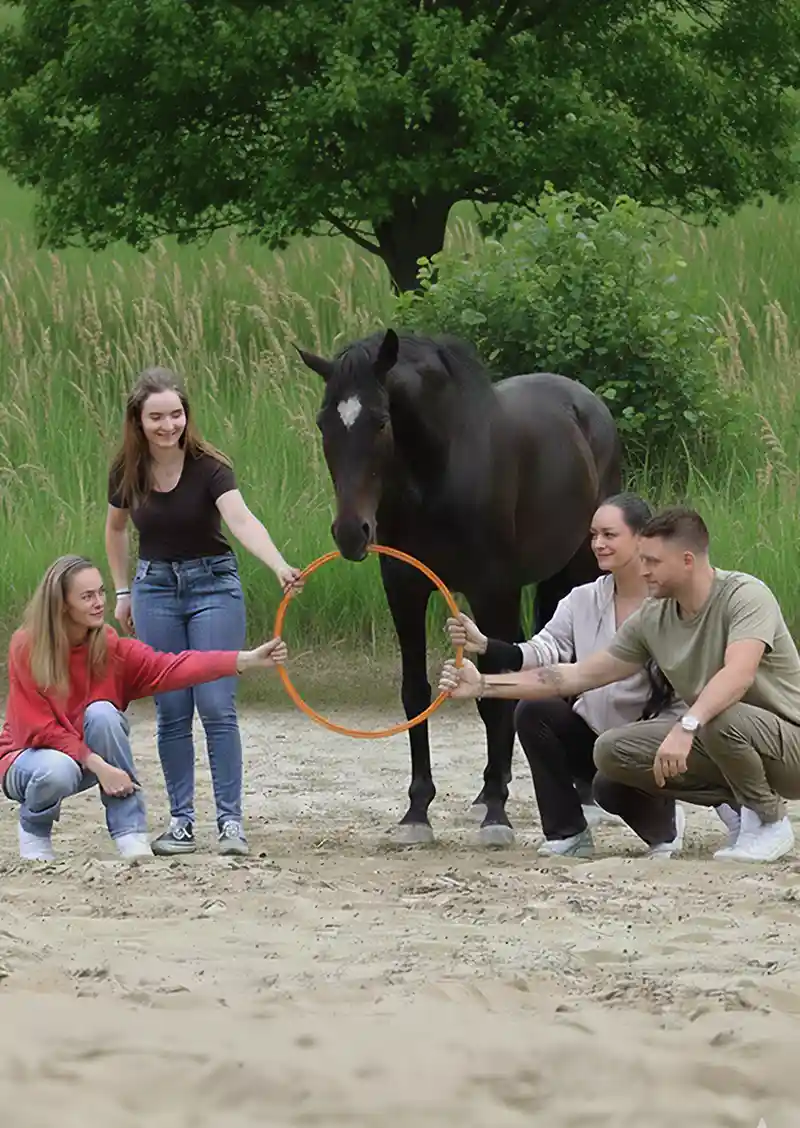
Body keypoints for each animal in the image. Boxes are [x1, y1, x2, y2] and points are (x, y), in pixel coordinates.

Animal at [297, 328, 622, 847]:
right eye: (325, 422)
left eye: (381, 421)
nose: (350, 533)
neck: (438, 474)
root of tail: (586, 403)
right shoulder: (404, 591)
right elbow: (416, 693)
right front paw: (417, 813)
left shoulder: (492, 591)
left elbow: (493, 697)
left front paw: (497, 815)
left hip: (580, 569)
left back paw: (583, 794)